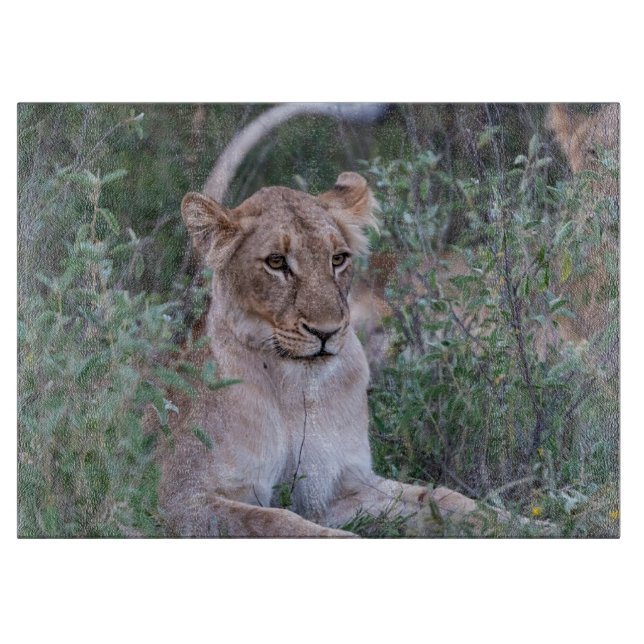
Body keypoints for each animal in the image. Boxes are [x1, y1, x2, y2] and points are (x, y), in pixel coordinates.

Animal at [157, 172, 484, 537]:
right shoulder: (179, 499)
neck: (293, 383)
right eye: (276, 262)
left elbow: (440, 498)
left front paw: (504, 518)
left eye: (338, 259)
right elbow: (277, 522)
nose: (326, 332)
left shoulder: (337, 487)